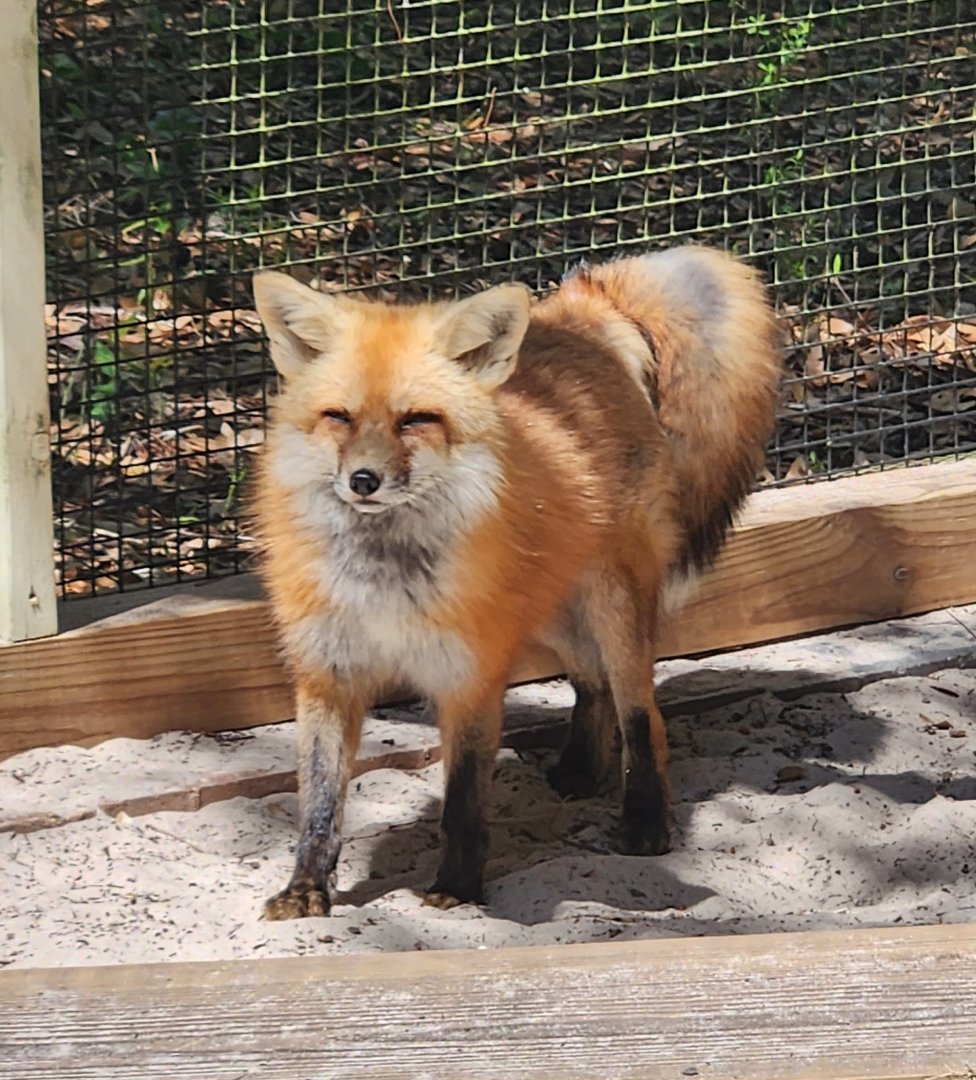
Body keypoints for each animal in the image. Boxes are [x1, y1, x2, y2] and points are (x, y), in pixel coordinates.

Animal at [251, 245, 782, 919]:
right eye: (338, 418)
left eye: (416, 420)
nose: (363, 480)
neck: (385, 580)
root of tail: (576, 314)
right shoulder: (327, 675)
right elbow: (319, 805)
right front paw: (306, 889)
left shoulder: (470, 675)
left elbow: (463, 802)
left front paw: (457, 888)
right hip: (553, 610)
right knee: (592, 683)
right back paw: (582, 770)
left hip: (612, 607)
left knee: (642, 714)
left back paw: (644, 820)